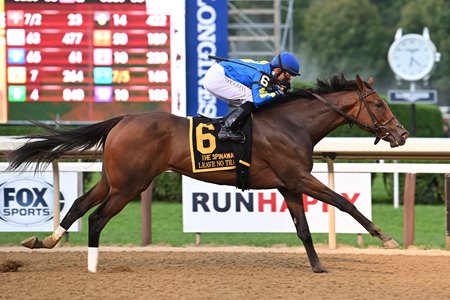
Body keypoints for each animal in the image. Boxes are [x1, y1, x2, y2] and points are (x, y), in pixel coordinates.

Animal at [6, 74, 408, 272]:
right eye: (378, 103)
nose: (402, 134)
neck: (293, 124)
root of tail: (123, 118)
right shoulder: (299, 178)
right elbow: (345, 204)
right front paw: (387, 239)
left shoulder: (288, 185)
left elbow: (304, 229)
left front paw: (318, 267)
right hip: (129, 185)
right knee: (96, 218)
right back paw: (91, 267)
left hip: (114, 179)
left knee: (77, 205)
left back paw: (44, 241)